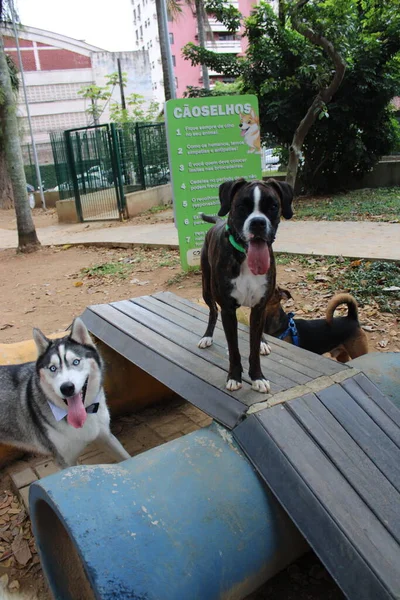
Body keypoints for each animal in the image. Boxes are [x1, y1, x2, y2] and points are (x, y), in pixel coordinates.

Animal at [0, 318, 130, 468]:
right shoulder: (65, 461)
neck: (85, 414)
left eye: (76, 362)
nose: (66, 388)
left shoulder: (106, 437)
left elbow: (128, 458)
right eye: (52, 368)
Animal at [198, 177, 294, 394]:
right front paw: (234, 377)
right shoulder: (227, 310)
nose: (258, 222)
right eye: (242, 206)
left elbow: (253, 348)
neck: (243, 256)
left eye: (273, 206)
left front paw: (258, 377)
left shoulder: (259, 307)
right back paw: (207, 336)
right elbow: (234, 349)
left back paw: (263, 342)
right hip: (206, 289)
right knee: (212, 311)